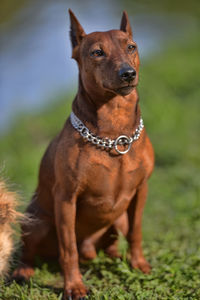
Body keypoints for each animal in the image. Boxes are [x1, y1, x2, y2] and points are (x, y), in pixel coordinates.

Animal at [12, 9, 155, 300]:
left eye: (131, 47)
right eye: (97, 52)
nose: (128, 74)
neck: (114, 133)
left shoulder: (141, 190)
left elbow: (136, 232)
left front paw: (139, 264)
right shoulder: (66, 199)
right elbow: (69, 250)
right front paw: (74, 286)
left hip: (119, 219)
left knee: (112, 242)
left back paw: (115, 258)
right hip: (38, 222)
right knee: (32, 251)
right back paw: (23, 270)